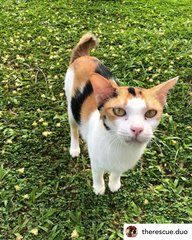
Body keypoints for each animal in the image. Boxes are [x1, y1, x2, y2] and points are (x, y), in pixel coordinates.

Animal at [64, 33, 177, 195]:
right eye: (118, 111)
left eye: (151, 113)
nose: (137, 129)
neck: (119, 144)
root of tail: (83, 57)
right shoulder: (96, 161)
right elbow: (97, 175)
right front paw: (99, 188)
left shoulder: (121, 165)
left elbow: (117, 172)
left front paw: (114, 184)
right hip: (71, 107)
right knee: (73, 128)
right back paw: (74, 148)